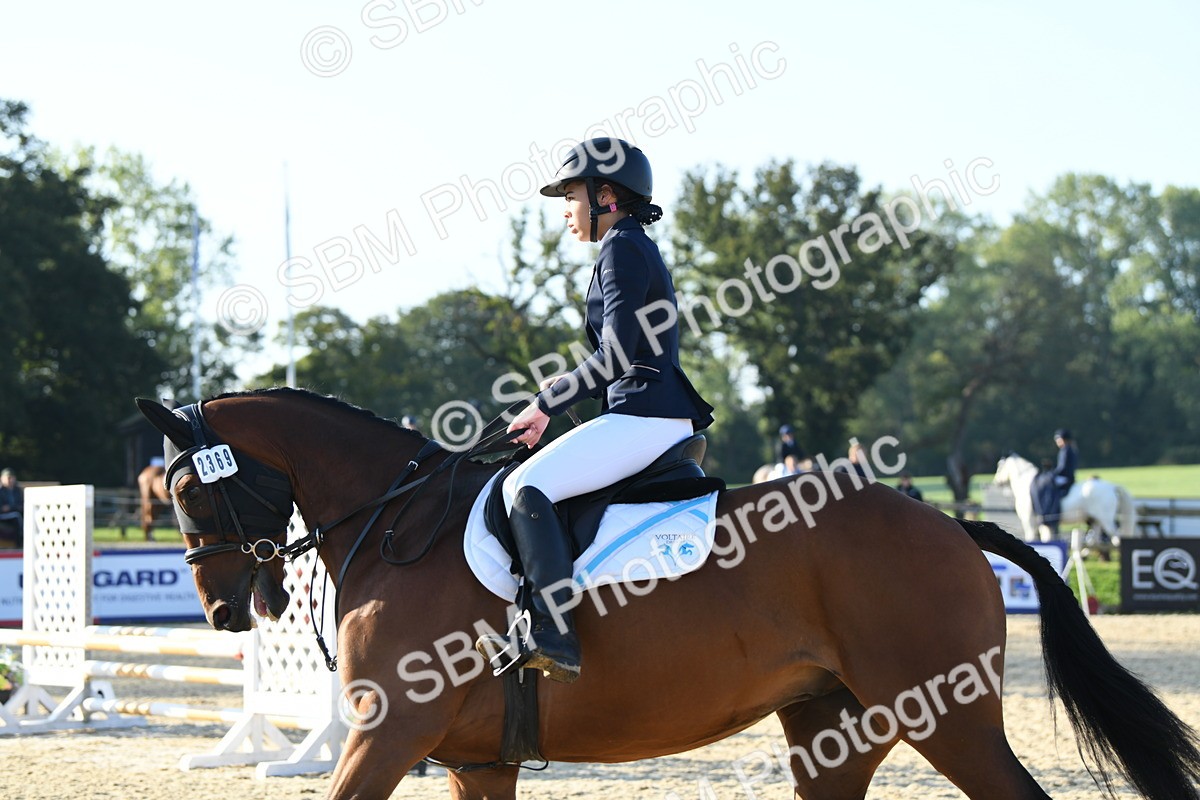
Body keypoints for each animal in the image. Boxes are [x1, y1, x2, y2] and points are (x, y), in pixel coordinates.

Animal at [992, 454, 1137, 545]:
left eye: (999, 467)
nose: (996, 482)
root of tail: (1112, 486)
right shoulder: (1044, 522)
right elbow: (1047, 538)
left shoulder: (1029, 520)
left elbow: (1031, 538)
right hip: (1095, 520)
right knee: (1095, 541)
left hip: (1106, 520)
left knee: (1116, 538)